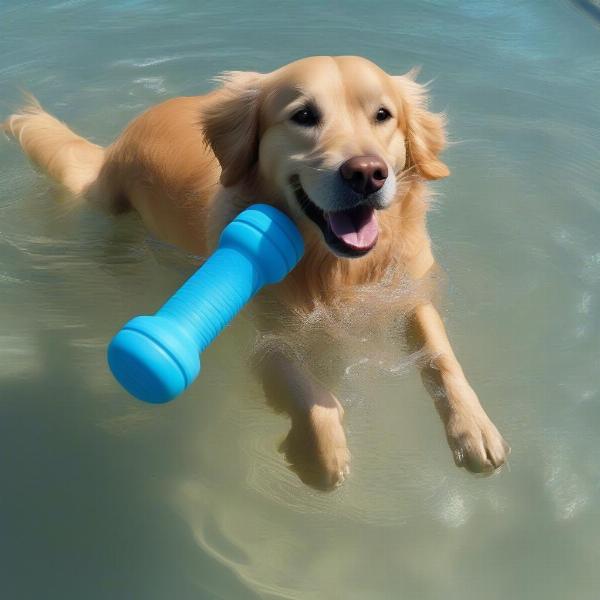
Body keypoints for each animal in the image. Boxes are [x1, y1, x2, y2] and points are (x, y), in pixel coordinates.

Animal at [4, 55, 510, 488]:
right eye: (304, 115)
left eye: (383, 115)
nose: (367, 173)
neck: (336, 270)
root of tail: (116, 142)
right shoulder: (259, 330)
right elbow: (302, 390)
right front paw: (319, 455)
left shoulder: (407, 290)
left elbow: (441, 355)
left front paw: (474, 428)